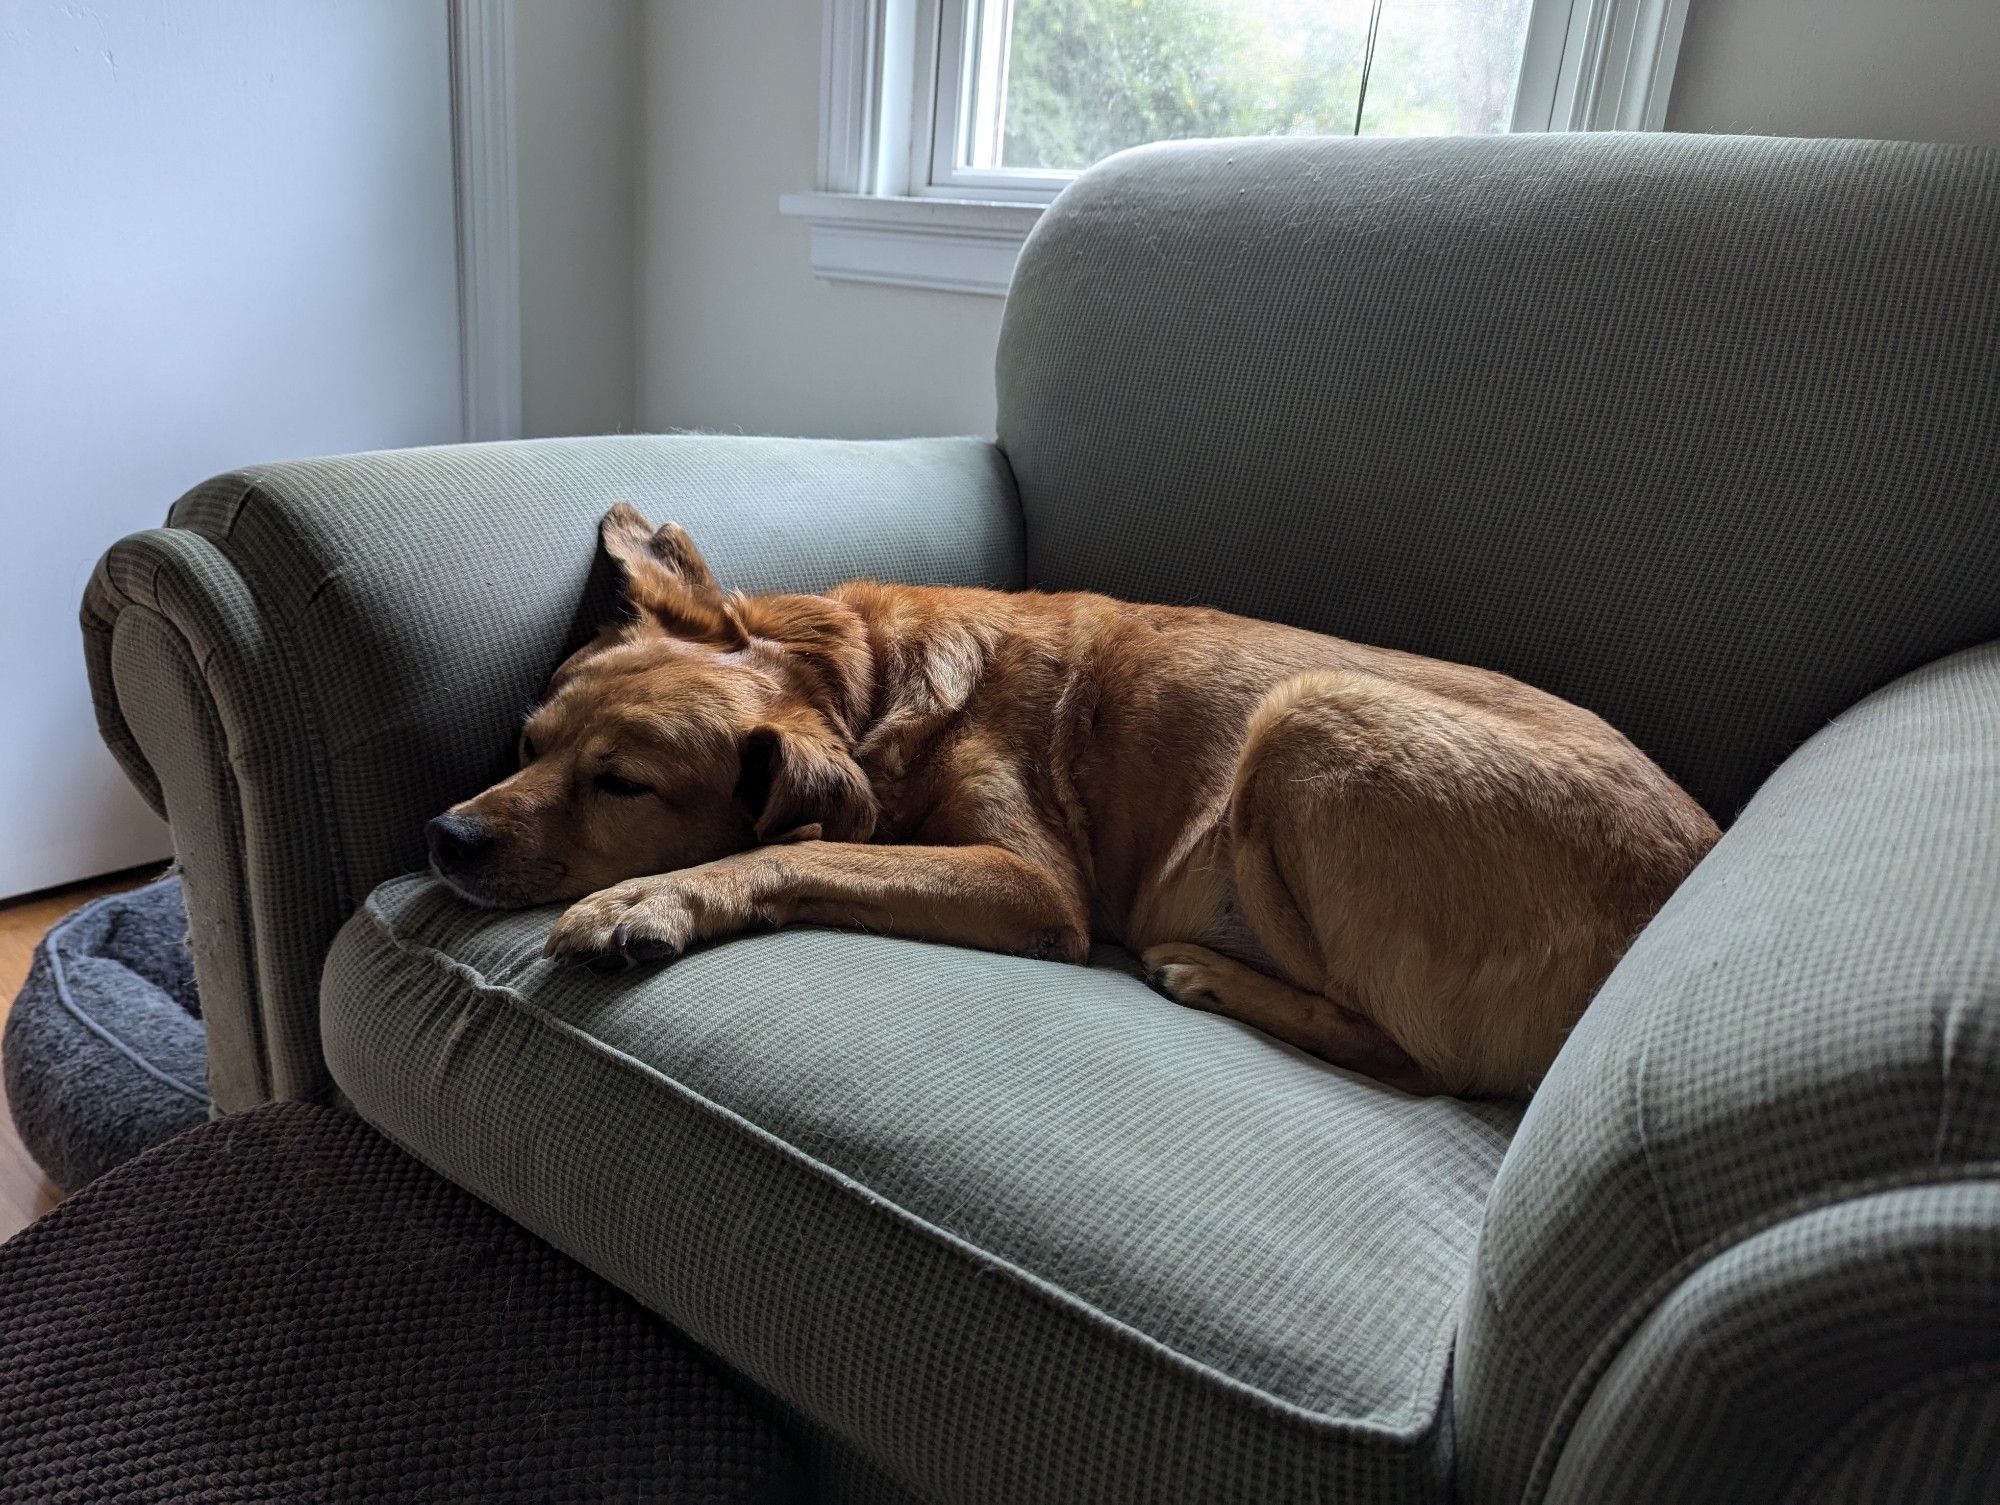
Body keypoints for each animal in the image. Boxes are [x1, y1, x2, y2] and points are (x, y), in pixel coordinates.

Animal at [426, 506, 1720, 1096]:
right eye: (528, 742)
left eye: (622, 784)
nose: (443, 836)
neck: (863, 683)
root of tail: (1694, 857)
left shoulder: (1029, 881)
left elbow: (787, 849)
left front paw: (651, 898)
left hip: (1303, 715)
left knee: (1406, 1056)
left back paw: (1208, 973)